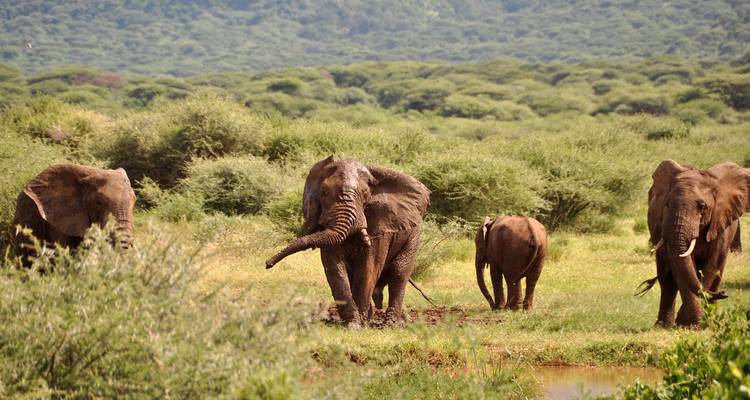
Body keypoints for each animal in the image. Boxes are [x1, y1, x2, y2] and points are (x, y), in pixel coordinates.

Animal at [265, 156, 430, 327]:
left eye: (365, 194)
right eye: (323, 193)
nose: (267, 264)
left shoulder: (379, 223)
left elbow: (368, 266)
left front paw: (361, 323)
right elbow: (334, 266)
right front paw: (354, 323)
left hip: (414, 237)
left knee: (399, 272)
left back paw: (390, 324)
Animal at [640, 160, 749, 328]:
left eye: (702, 206)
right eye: (667, 204)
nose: (724, 293)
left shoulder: (720, 222)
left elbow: (711, 266)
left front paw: (692, 323)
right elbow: (680, 267)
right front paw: (688, 323)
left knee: (716, 274)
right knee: (667, 279)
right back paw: (663, 325)